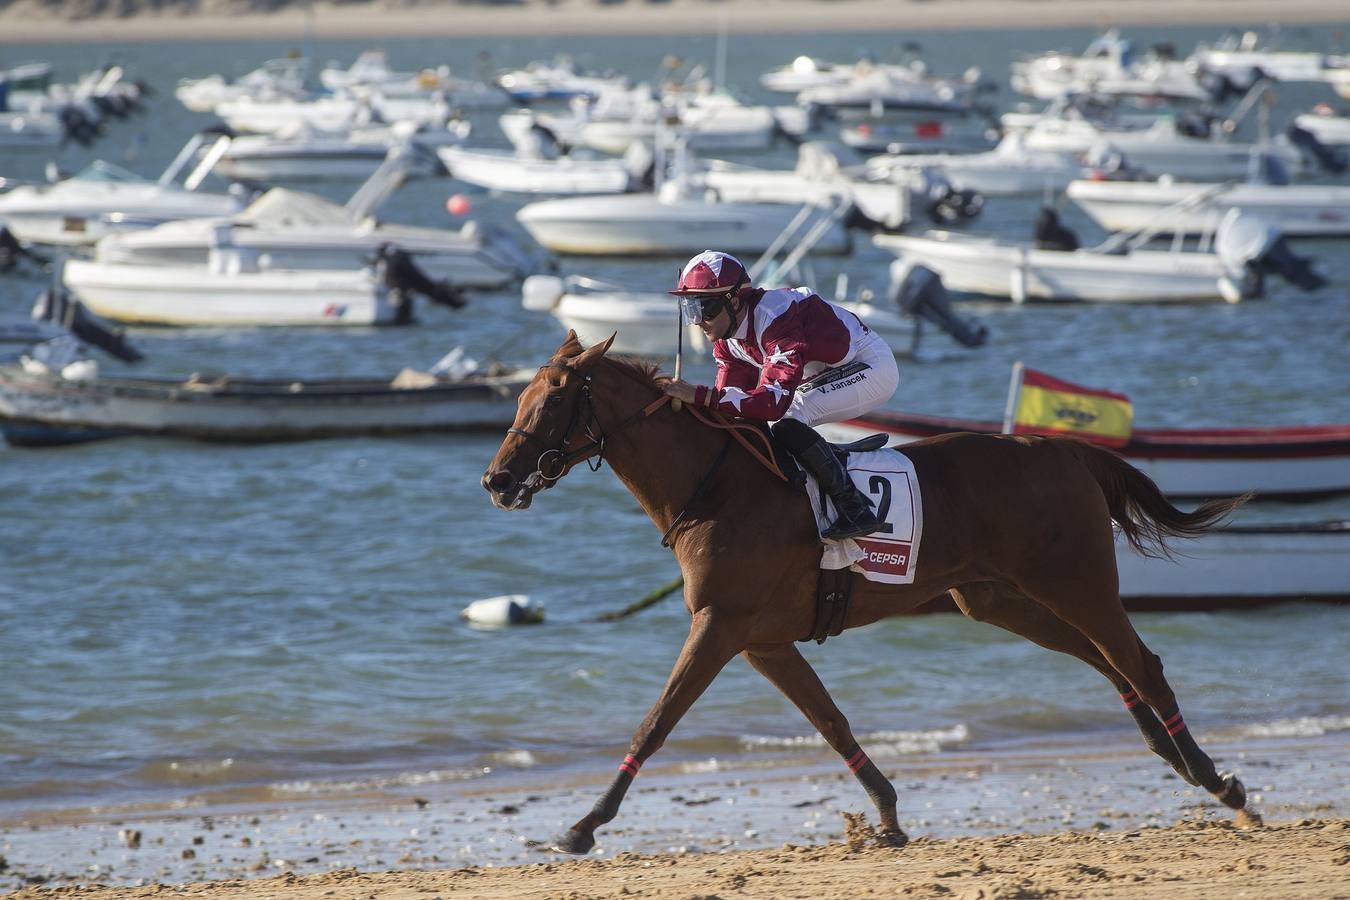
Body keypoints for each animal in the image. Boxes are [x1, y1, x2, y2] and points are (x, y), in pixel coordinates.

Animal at [483, 334, 1252, 858]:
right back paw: (1167, 751)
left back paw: (1216, 780)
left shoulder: (720, 627)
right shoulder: (762, 641)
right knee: (1107, 660)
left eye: (555, 400)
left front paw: (583, 826)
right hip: (995, 597)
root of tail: (1061, 449)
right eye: (518, 399)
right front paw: (885, 814)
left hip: (1073, 579)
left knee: (1138, 660)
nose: (497, 480)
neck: (715, 487)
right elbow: (831, 721)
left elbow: (655, 722)